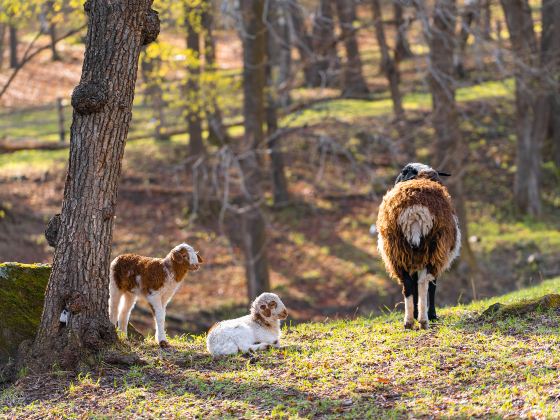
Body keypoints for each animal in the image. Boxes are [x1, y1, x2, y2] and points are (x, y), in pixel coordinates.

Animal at [374, 162, 462, 330]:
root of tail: (414, 210)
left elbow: (413, 286)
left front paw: (415, 314)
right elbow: (432, 286)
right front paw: (433, 315)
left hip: (398, 250)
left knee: (408, 285)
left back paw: (409, 321)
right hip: (433, 248)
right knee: (423, 283)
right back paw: (424, 320)